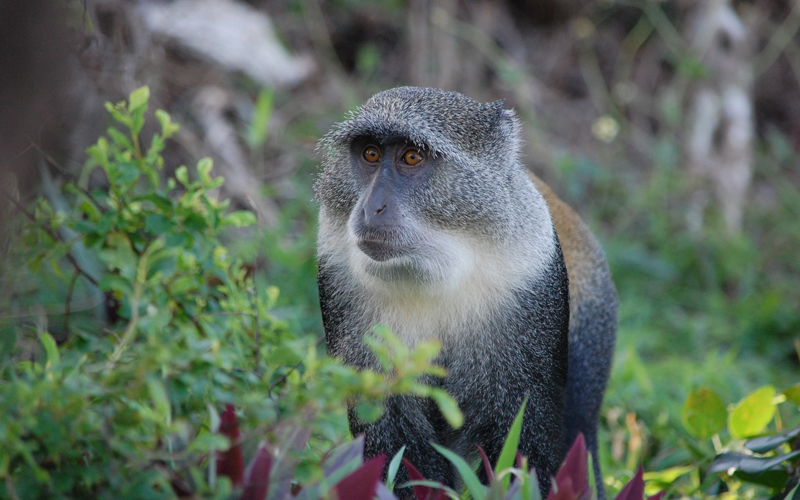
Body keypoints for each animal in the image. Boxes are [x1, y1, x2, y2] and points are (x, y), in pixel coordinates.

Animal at [316, 88, 616, 498]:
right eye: (371, 154)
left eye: (412, 156)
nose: (371, 207)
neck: (438, 269)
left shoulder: (531, 279)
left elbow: (526, 442)